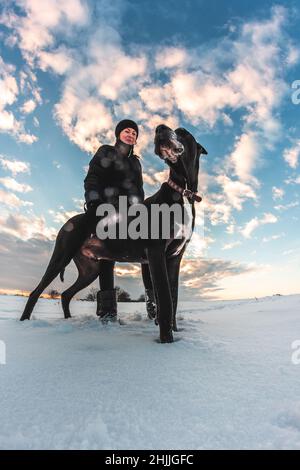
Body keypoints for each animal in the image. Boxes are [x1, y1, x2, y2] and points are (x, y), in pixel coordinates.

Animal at [20, 125, 206, 344]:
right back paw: (23, 324)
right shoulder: (156, 252)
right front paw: (167, 341)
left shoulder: (175, 257)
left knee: (65, 294)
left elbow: (174, 298)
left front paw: (175, 334)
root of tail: (69, 221)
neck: (182, 190)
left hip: (90, 269)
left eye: (182, 132)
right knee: (35, 292)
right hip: (61, 255)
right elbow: (166, 301)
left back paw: (68, 321)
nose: (160, 128)